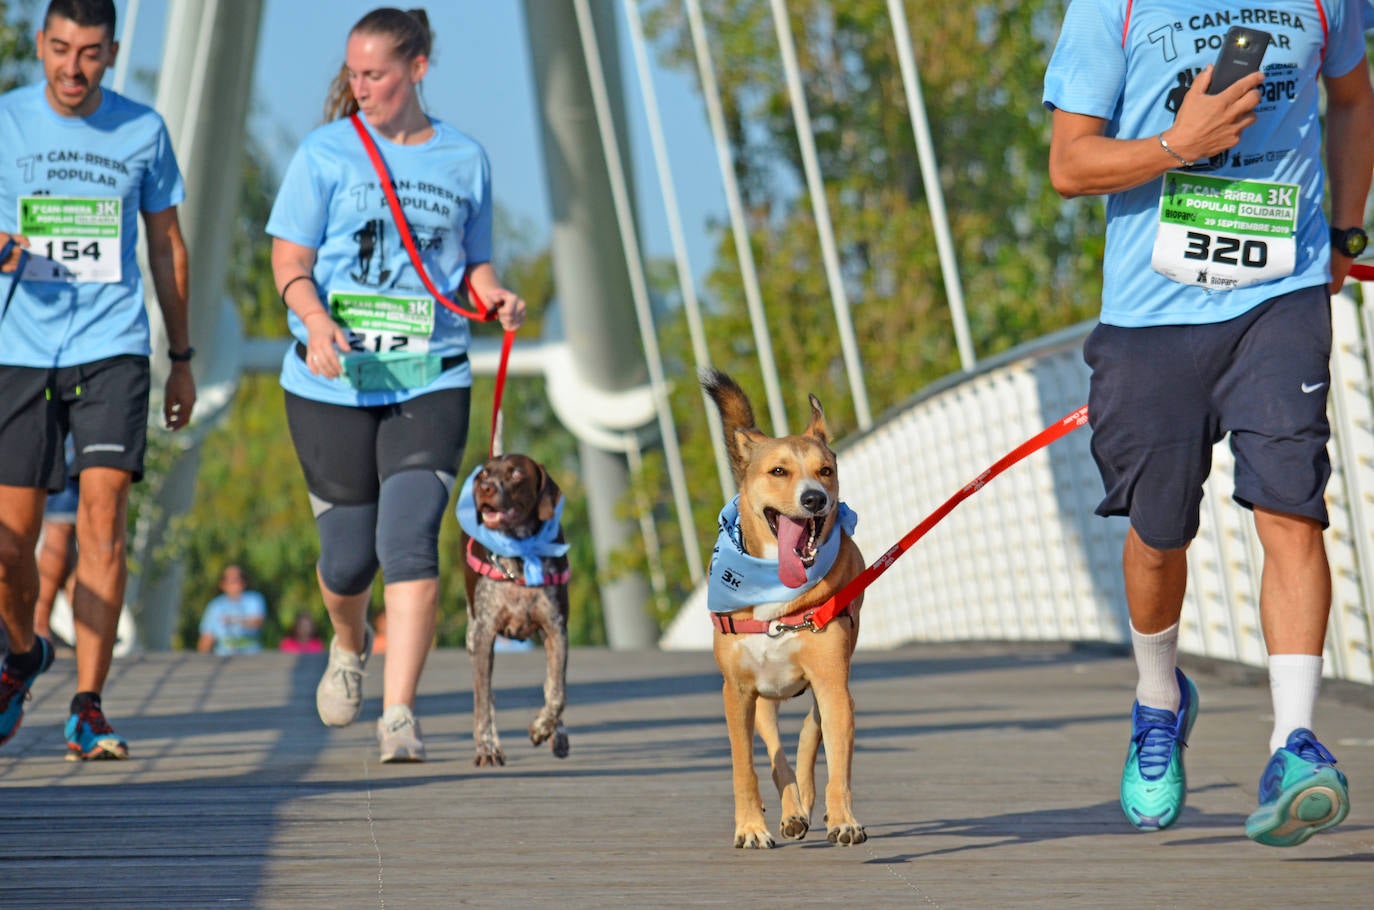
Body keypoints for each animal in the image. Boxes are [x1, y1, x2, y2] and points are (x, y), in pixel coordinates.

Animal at [461, 453, 568, 764]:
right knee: (489, 697)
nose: (484, 488)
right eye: (484, 474)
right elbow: (482, 701)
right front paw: (486, 748)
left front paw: (545, 728)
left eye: (517, 473)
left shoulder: (556, 629)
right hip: (473, 636)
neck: (520, 551)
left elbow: (556, 692)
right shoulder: (484, 636)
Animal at [703, 368, 862, 852]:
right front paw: (750, 827)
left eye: (826, 471)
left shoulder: (831, 680)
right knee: (775, 751)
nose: (814, 499)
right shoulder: (737, 691)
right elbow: (746, 767)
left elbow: (837, 762)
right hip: (762, 696)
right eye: (778, 471)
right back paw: (791, 811)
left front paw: (843, 819)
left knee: (812, 733)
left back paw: (807, 805)